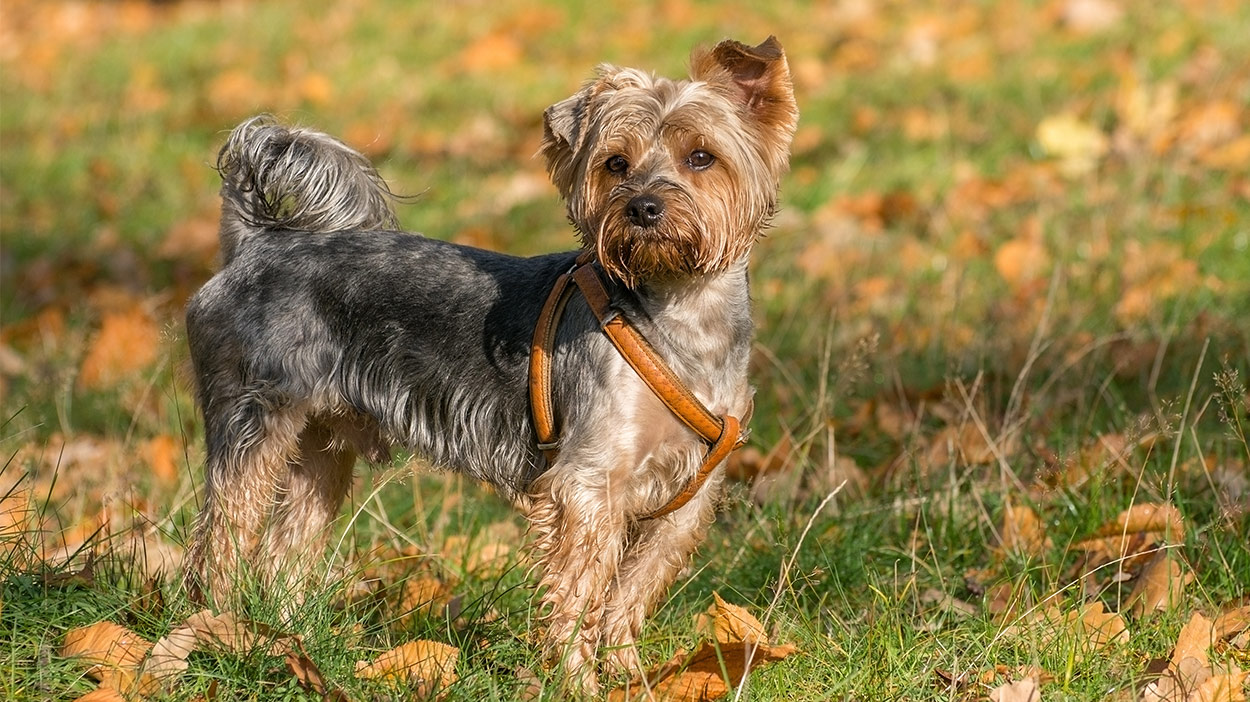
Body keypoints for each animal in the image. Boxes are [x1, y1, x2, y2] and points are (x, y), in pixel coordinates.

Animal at [181, 35, 795, 684]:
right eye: (615, 165)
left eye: (701, 157)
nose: (643, 207)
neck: (680, 311)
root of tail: (255, 244)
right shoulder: (590, 482)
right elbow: (580, 591)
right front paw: (576, 679)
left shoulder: (687, 499)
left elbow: (631, 591)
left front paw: (629, 675)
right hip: (254, 415)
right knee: (222, 539)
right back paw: (222, 633)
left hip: (321, 444)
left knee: (286, 548)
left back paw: (285, 639)